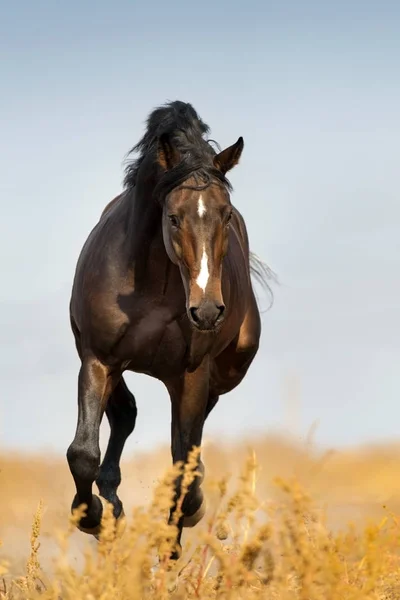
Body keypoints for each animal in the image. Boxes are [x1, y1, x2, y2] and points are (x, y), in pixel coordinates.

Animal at [67, 101, 272, 560]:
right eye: (173, 218)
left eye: (226, 215)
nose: (208, 310)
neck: (150, 284)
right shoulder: (98, 359)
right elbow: (83, 453)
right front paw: (93, 518)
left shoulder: (191, 372)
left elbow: (184, 464)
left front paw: (176, 534)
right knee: (125, 414)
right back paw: (113, 503)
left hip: (226, 369)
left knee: (189, 439)